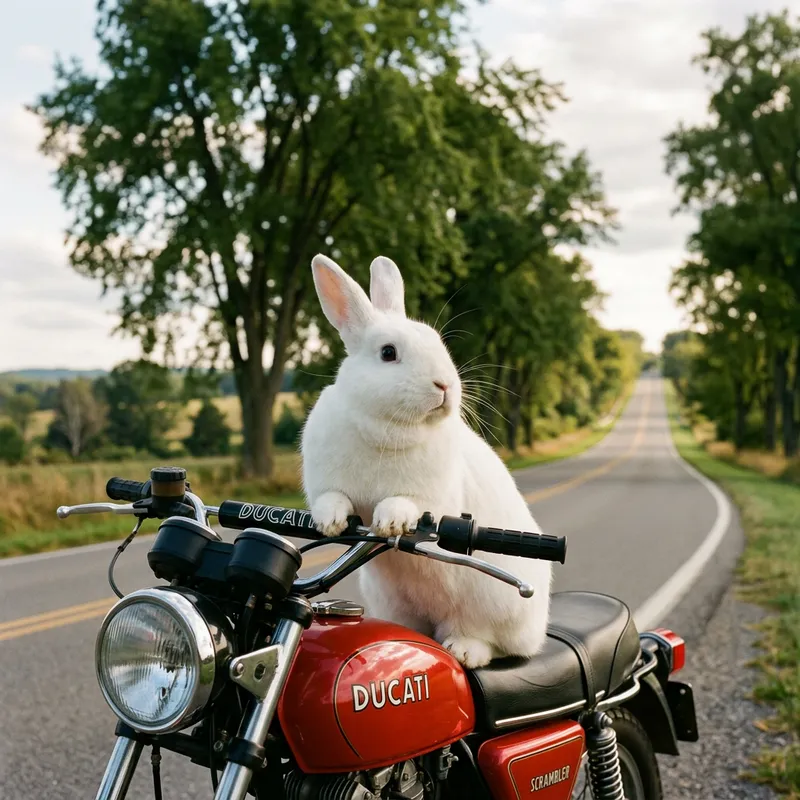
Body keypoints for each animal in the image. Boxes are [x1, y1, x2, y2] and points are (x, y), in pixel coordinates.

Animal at [301, 253, 552, 669]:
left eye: (438, 343)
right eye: (388, 353)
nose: (445, 386)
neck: (386, 426)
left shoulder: (430, 500)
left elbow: (404, 504)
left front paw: (389, 521)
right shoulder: (326, 483)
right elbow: (331, 499)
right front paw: (331, 521)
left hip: (494, 605)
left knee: (492, 641)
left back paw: (465, 650)